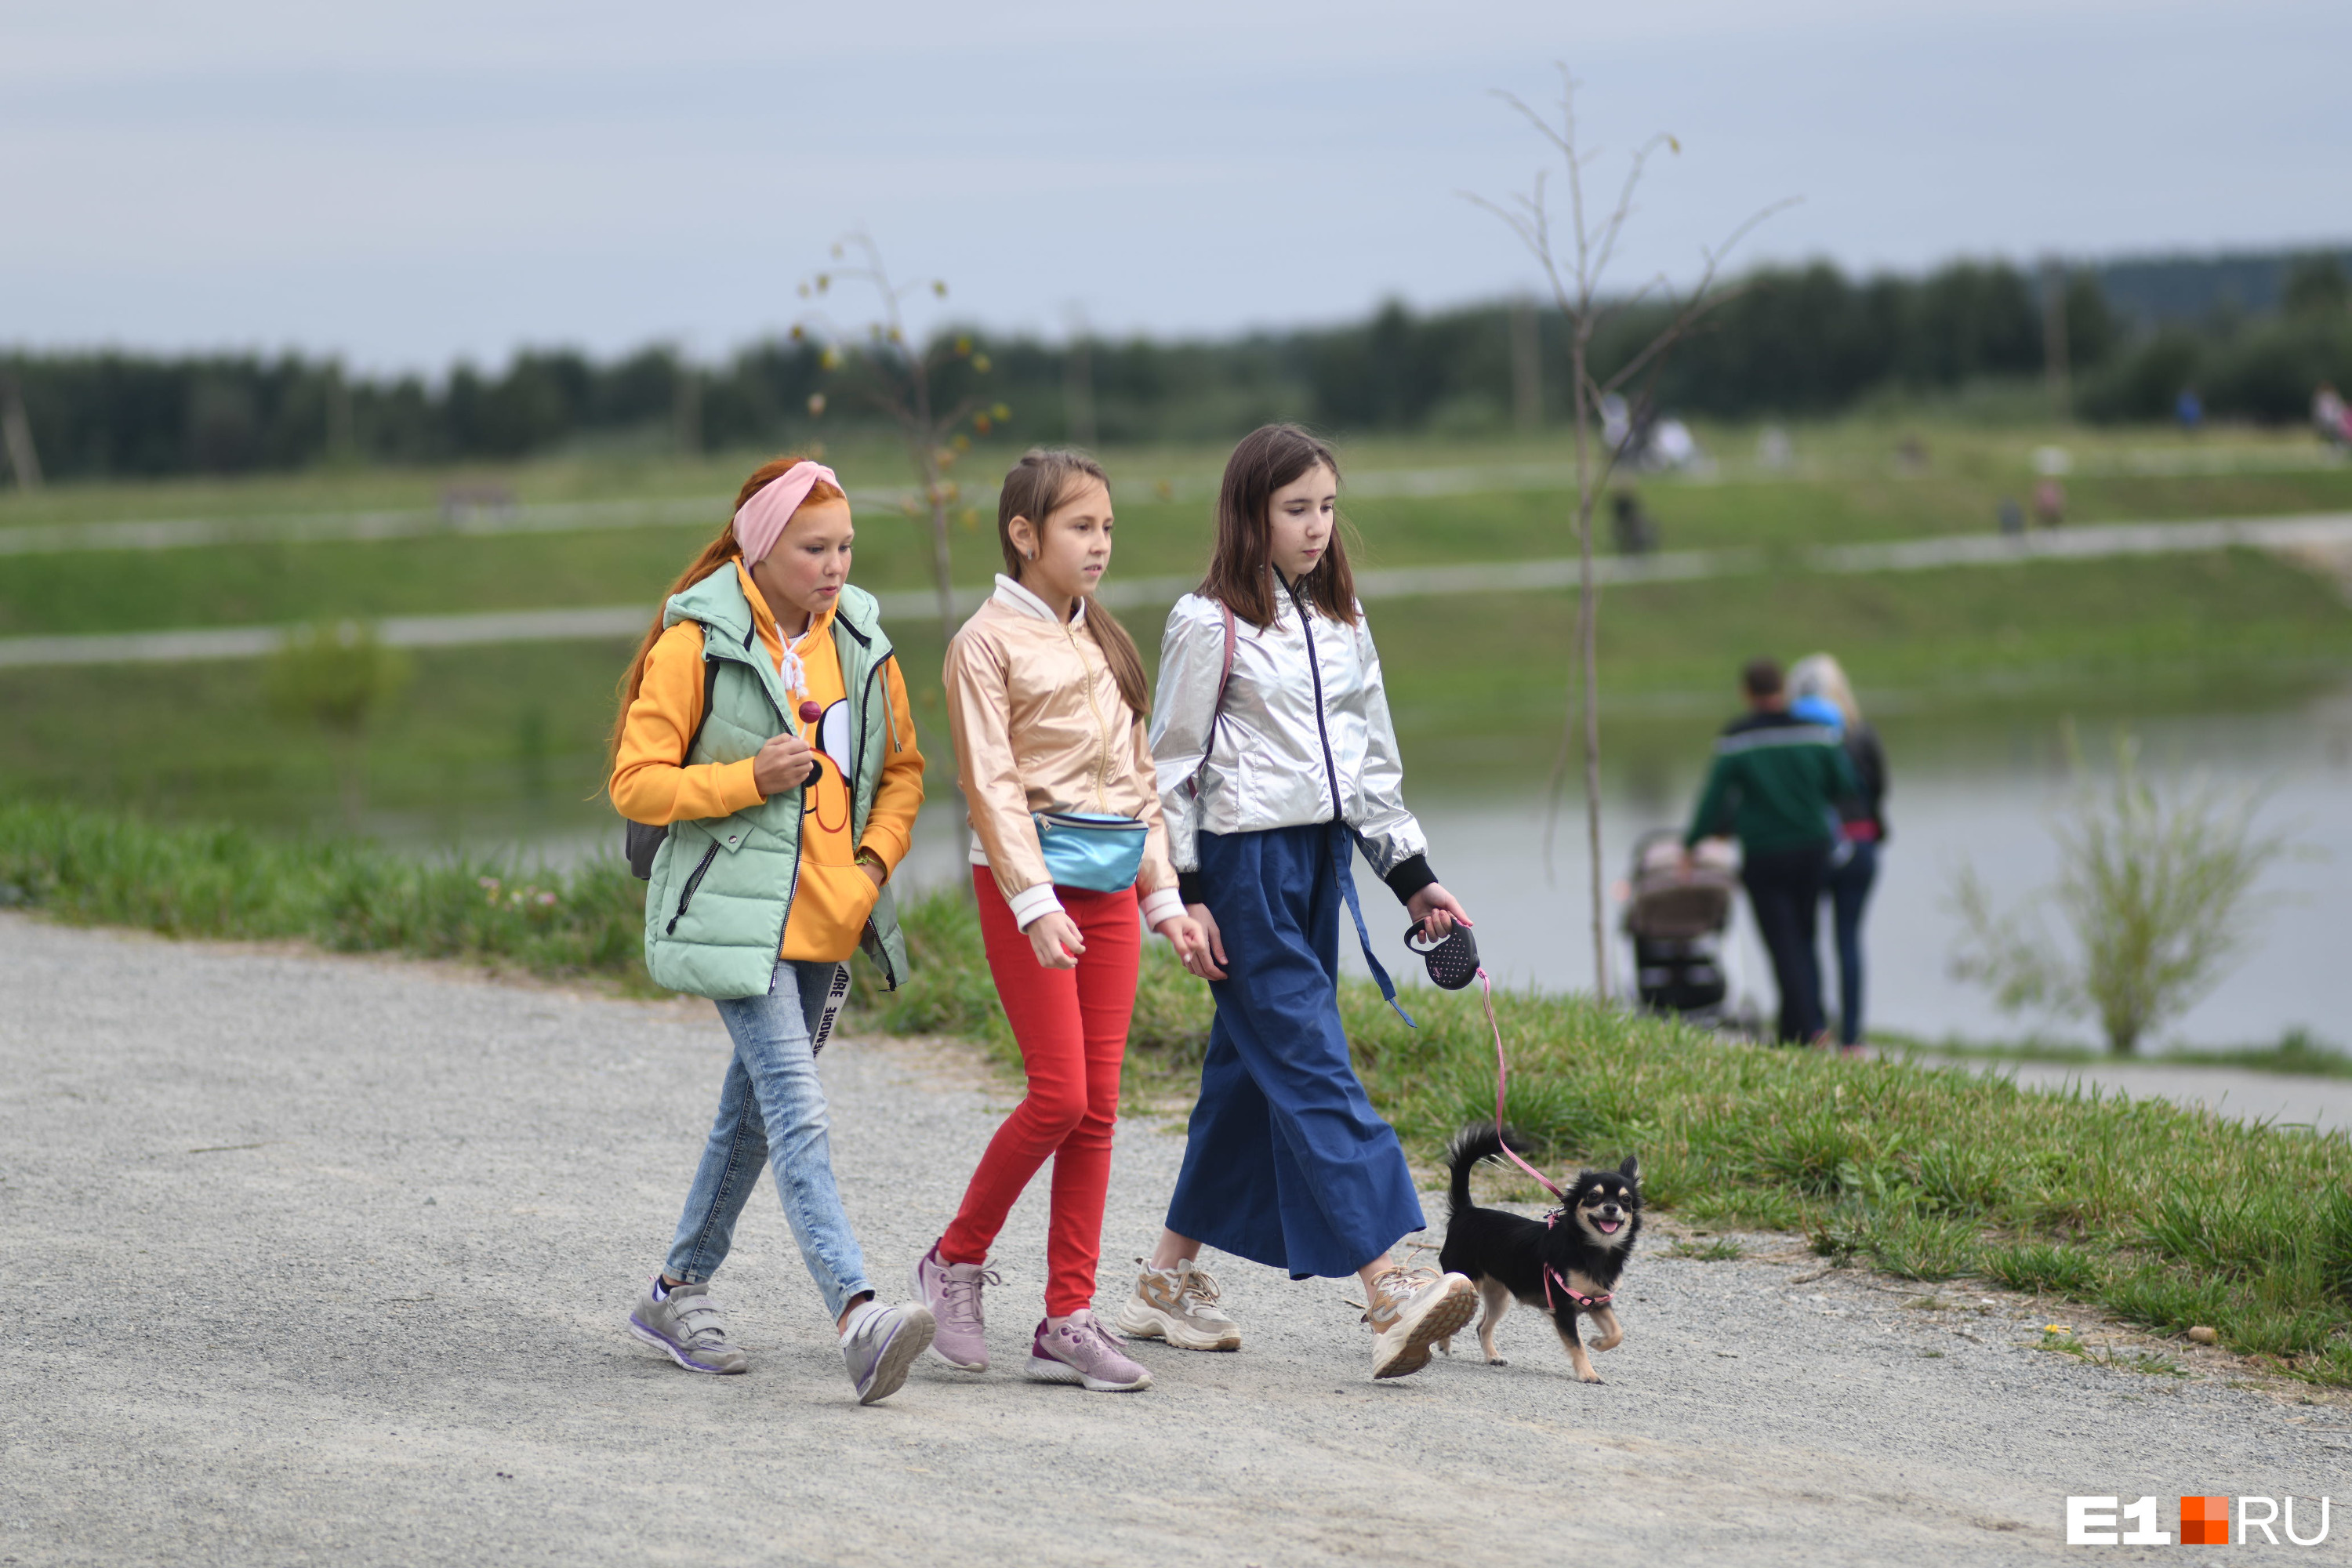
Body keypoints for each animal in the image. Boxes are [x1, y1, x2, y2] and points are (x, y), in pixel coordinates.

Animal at [1421, 1123, 1646, 1382]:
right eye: (1593, 1196)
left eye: (1626, 1199)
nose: (1611, 1208)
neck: (1592, 1249)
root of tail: (1466, 1210)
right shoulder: (1563, 1309)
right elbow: (1577, 1345)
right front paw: (1588, 1373)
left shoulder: (1598, 1301)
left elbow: (1617, 1333)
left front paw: (1599, 1342)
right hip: (1468, 1282)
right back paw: (1444, 1342)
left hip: (1499, 1296)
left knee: (1482, 1326)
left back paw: (1492, 1356)